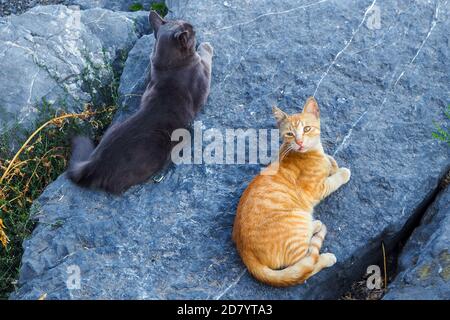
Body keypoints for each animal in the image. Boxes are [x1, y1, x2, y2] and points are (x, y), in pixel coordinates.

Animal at [67, 11, 214, 194]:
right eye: (191, 30)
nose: (194, 26)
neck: (169, 66)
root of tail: (93, 164)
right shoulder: (203, 79)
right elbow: (206, 58)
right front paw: (206, 45)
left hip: (113, 127)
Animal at [232, 96, 352, 286]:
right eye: (290, 134)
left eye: (307, 129)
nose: (300, 142)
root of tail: (246, 253)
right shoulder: (317, 189)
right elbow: (334, 179)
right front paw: (341, 172)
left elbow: (330, 162)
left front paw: (331, 162)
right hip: (298, 223)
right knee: (305, 266)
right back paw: (324, 253)